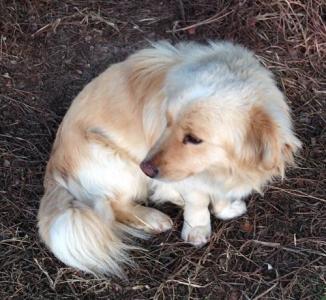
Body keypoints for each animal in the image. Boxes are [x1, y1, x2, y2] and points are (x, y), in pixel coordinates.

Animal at [37, 40, 300, 276]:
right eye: (167, 121)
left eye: (193, 139)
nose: (146, 168)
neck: (221, 169)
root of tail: (53, 171)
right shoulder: (191, 180)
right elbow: (198, 203)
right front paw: (197, 229)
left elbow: (220, 198)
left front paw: (227, 208)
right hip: (115, 162)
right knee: (112, 206)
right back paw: (154, 218)